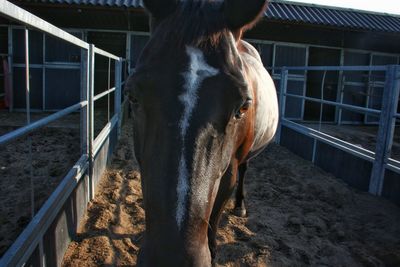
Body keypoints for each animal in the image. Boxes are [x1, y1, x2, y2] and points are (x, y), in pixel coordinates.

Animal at [125, 1, 278, 266]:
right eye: (132, 95)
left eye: (242, 107)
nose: (171, 258)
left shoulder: (228, 173)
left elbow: (215, 214)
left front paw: (213, 250)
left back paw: (240, 205)